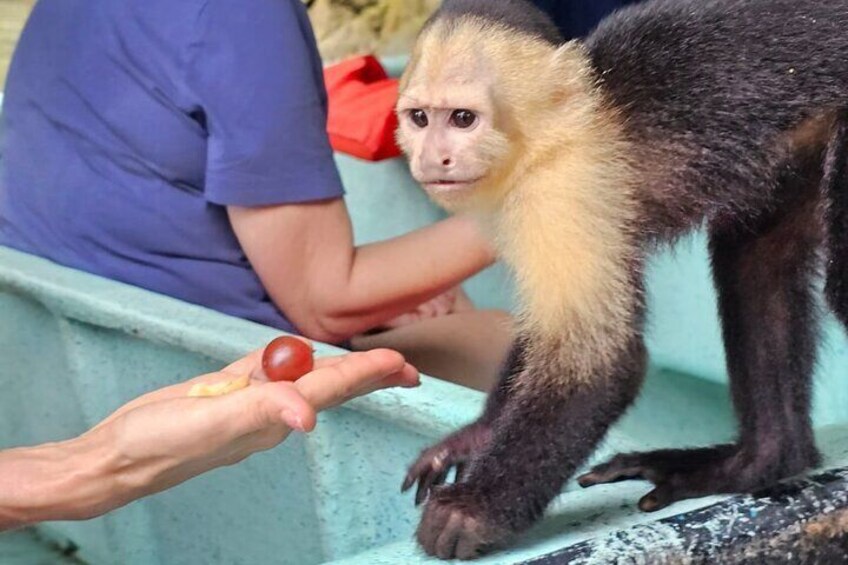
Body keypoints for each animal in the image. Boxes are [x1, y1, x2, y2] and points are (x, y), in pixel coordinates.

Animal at [396, 0, 848, 556]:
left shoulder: (562, 185)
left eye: (463, 119)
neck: (555, 129)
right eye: (419, 118)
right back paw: (763, 459)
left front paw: (475, 510)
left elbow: (601, 360)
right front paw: (477, 436)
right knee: (754, 252)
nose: (432, 157)